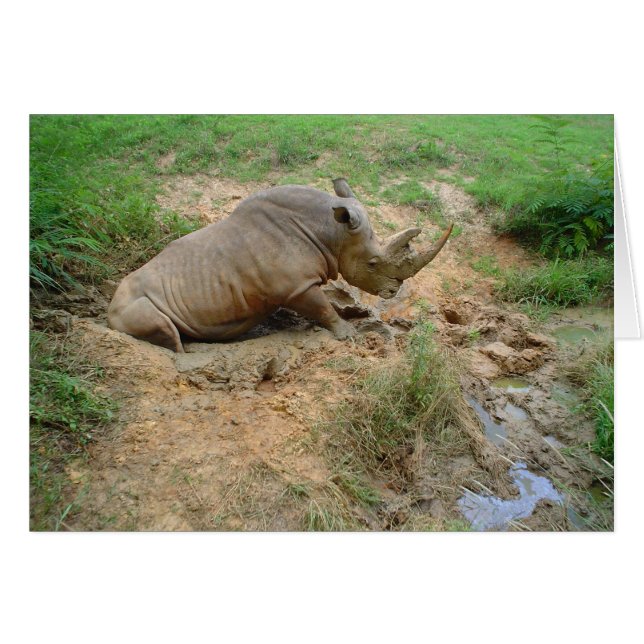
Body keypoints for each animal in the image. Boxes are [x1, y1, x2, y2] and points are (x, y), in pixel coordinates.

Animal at [107, 178, 452, 352]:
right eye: (372, 263)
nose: (394, 291)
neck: (330, 230)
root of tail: (108, 311)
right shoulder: (296, 286)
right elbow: (322, 307)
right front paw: (348, 334)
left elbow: (327, 305)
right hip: (132, 305)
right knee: (163, 327)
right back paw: (189, 355)